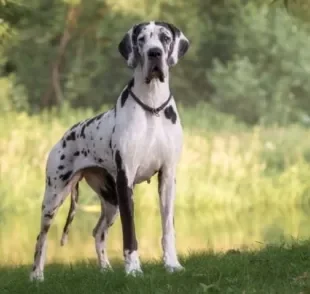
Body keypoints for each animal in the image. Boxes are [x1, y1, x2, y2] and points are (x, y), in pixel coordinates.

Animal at [29, 20, 189, 282]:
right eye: (142, 39)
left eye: (165, 38)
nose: (154, 53)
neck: (152, 106)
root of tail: (65, 134)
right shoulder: (126, 180)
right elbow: (130, 234)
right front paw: (133, 269)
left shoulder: (167, 177)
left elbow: (168, 228)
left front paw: (172, 264)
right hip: (54, 197)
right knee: (41, 237)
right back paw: (36, 276)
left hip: (111, 201)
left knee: (97, 232)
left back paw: (105, 268)